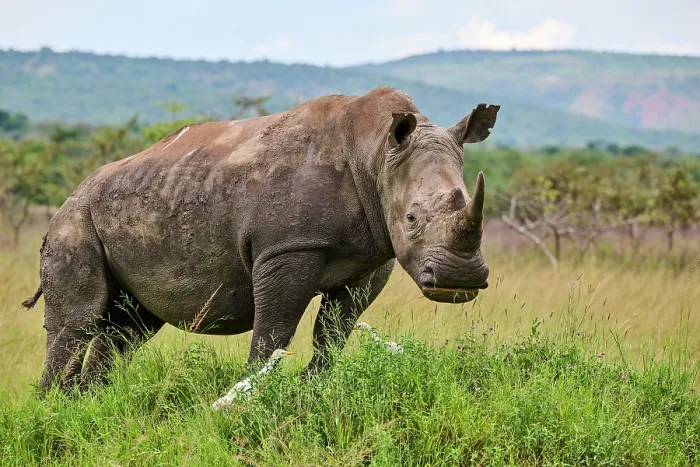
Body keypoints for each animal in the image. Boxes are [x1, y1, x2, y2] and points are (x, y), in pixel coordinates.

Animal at [22, 87, 499, 389]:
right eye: (412, 218)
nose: (458, 281)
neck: (377, 152)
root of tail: (74, 193)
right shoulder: (287, 247)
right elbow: (275, 329)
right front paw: (253, 392)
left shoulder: (371, 258)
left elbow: (334, 330)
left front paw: (314, 387)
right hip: (74, 219)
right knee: (77, 322)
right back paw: (55, 407)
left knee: (130, 326)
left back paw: (90, 402)